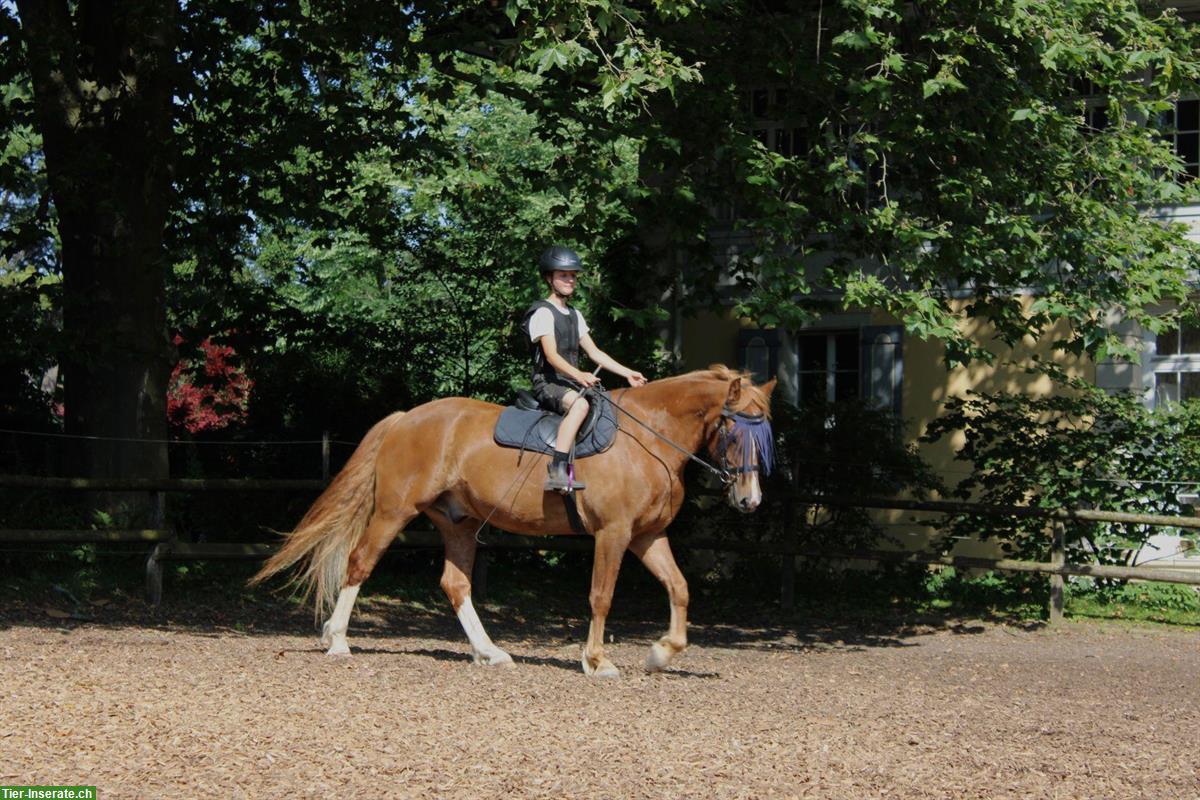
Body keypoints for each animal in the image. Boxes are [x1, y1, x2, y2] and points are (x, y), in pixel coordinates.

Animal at [253, 367, 777, 681]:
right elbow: (601, 595)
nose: (750, 500)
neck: (648, 438)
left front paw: (662, 652)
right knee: (360, 562)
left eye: (766, 431)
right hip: (393, 512)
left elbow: (680, 587)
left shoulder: (647, 536)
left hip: (459, 524)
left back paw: (490, 652)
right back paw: (338, 640)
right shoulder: (613, 533)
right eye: (734, 429)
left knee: (455, 584)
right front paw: (596, 660)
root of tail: (406, 418)